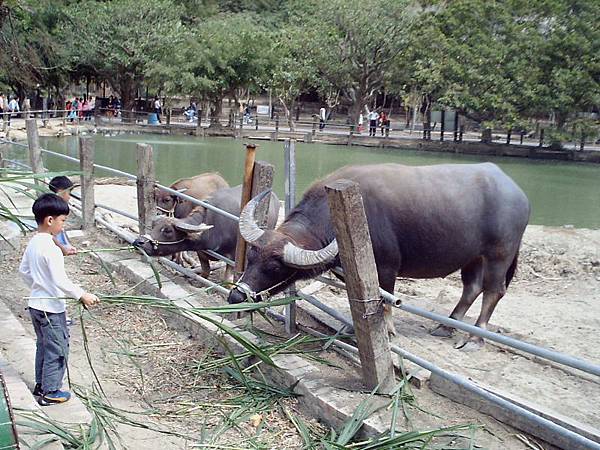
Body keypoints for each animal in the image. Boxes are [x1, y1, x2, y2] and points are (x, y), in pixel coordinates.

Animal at [134, 185, 278, 280]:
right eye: (153, 226)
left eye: (168, 230)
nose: (138, 242)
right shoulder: (201, 251)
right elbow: (205, 271)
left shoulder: (232, 256)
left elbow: (227, 278)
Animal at [226, 163, 528, 350]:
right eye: (251, 256)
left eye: (275, 267)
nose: (236, 296)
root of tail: (518, 194)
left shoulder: (385, 268)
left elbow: (384, 302)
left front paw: (389, 332)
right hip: (473, 257)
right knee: (472, 287)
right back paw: (446, 326)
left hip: (499, 254)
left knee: (494, 290)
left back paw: (476, 339)